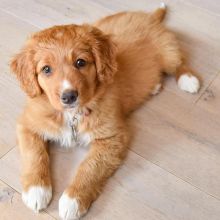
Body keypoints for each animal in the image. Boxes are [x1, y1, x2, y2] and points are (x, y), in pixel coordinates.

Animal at [10, 3, 201, 220]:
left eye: (80, 62)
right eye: (46, 69)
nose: (69, 97)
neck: (72, 114)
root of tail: (149, 16)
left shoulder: (112, 137)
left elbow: (90, 167)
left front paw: (72, 201)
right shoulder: (28, 124)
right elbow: (34, 154)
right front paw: (36, 191)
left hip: (168, 52)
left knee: (179, 63)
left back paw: (188, 80)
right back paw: (154, 86)